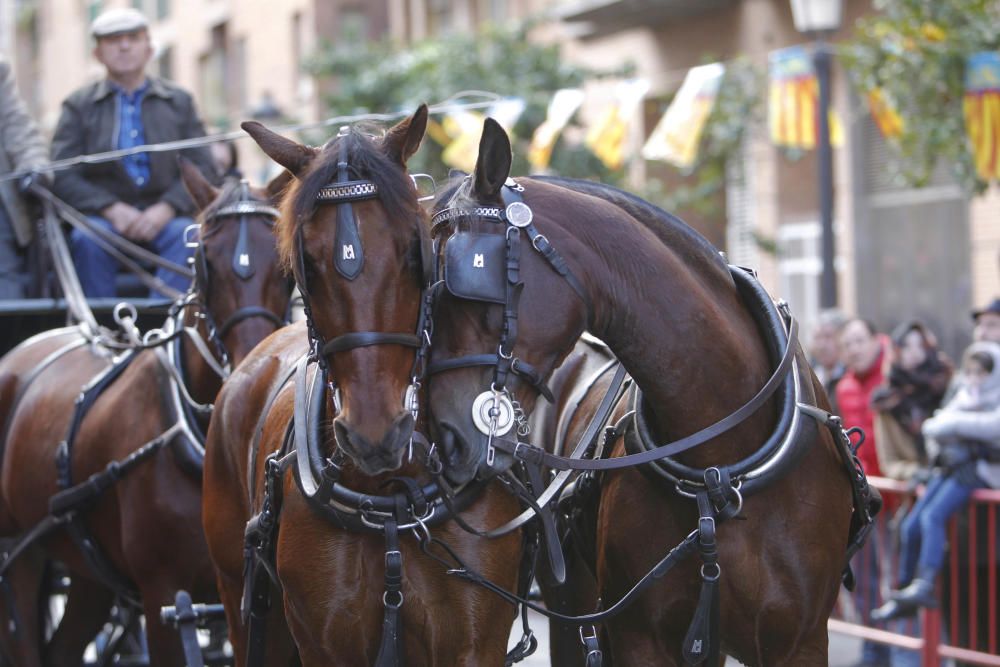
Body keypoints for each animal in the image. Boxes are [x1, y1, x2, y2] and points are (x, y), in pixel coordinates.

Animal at [0, 163, 292, 667]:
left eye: (284, 264)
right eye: (204, 262)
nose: (253, 361)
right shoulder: (163, 595)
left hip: (89, 576)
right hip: (20, 555)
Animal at [199, 107, 520, 664]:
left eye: (415, 250)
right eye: (305, 263)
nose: (374, 433)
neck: (391, 496)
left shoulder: (474, 643)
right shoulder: (324, 643)